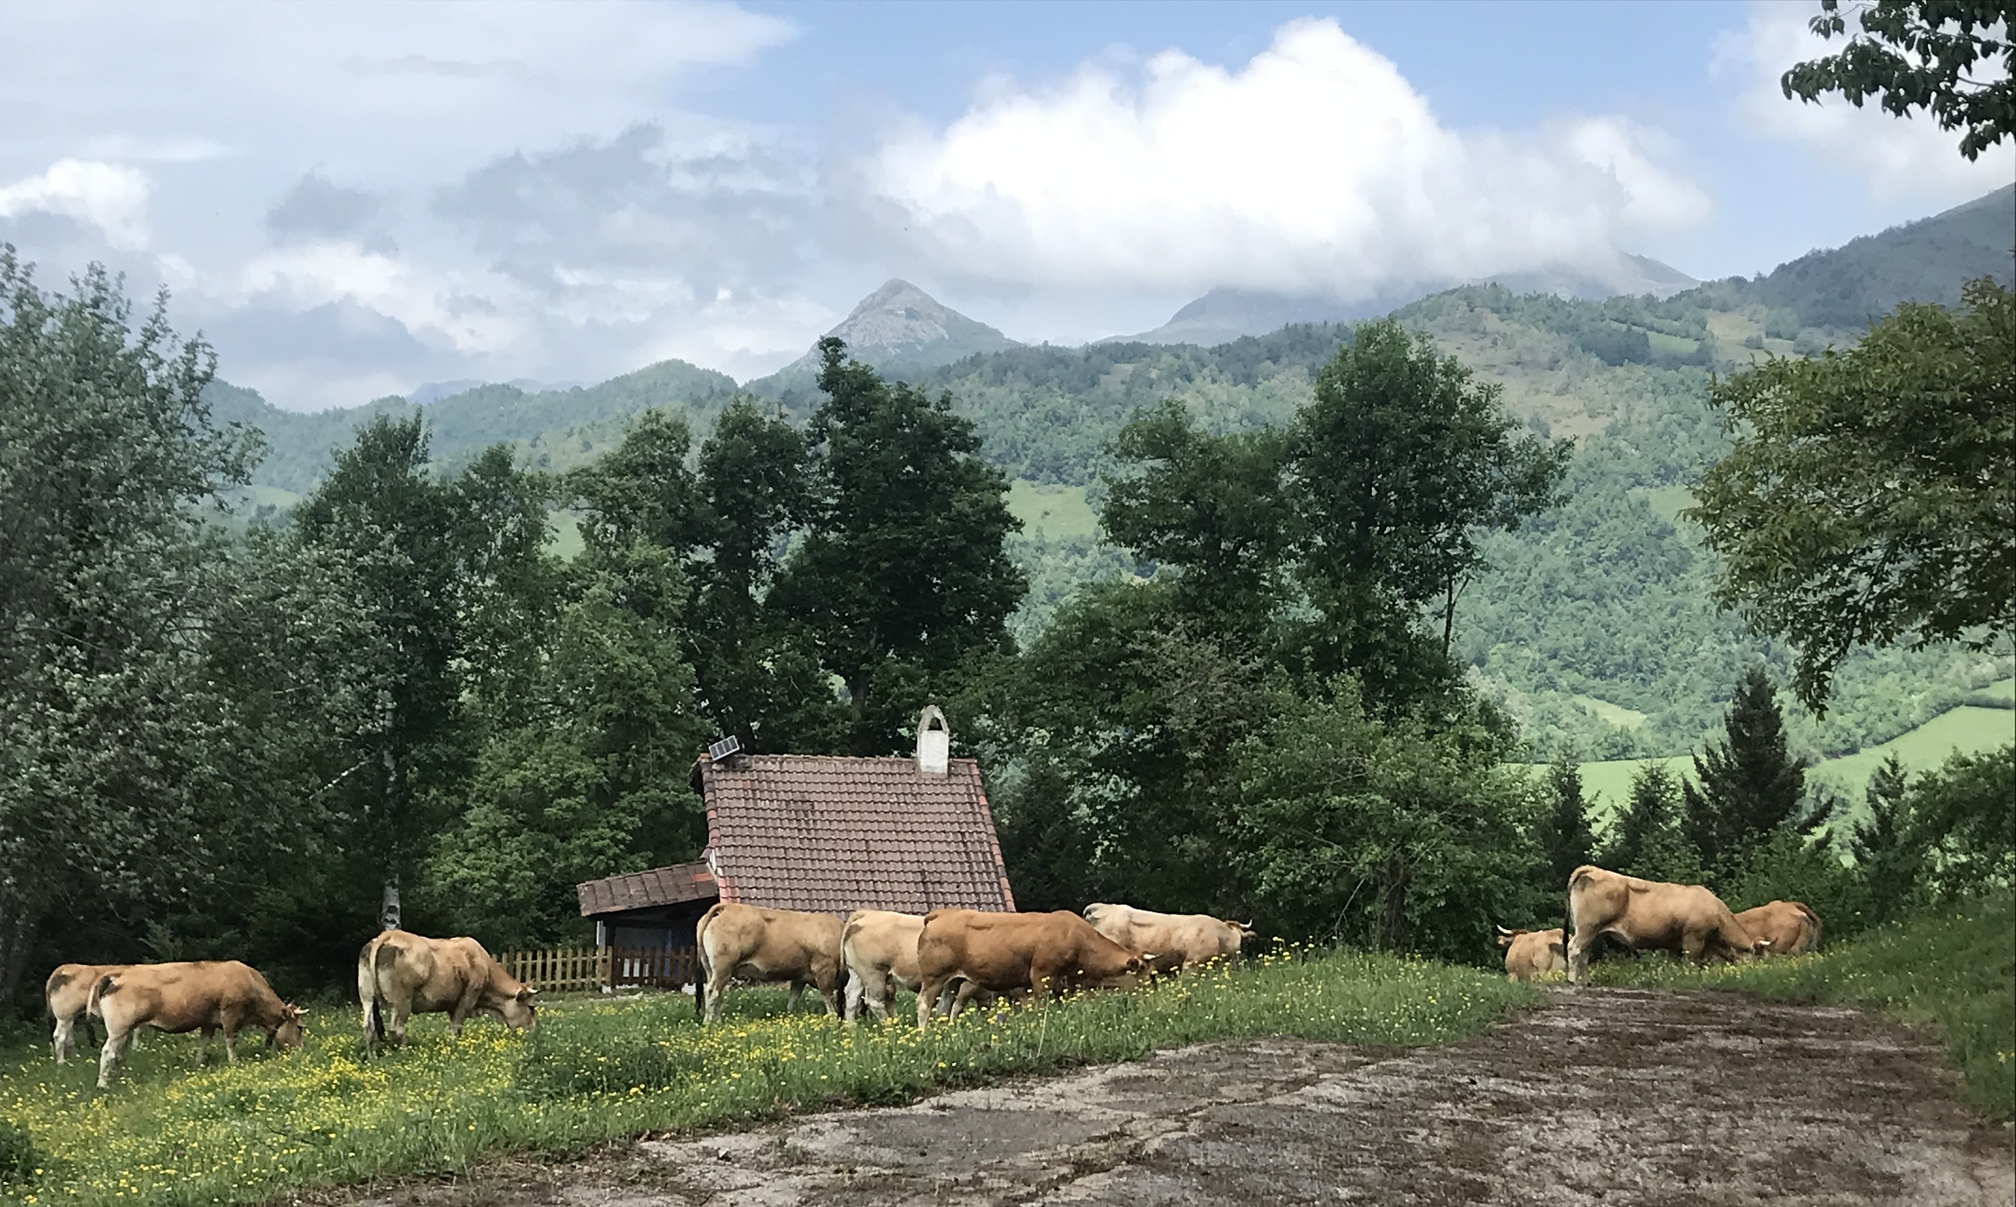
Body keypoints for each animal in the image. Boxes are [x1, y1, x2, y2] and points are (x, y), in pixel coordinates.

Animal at [89, 961, 304, 1087]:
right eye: (300, 1027)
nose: (300, 1051)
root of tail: (115, 975)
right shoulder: (230, 1013)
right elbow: (230, 1040)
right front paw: (234, 1062)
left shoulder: (208, 1021)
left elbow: (204, 1042)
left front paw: (199, 1063)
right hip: (119, 1029)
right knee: (108, 1052)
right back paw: (102, 1084)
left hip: (124, 1031)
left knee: (118, 1054)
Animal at [357, 929, 537, 1057]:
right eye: (531, 1008)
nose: (533, 1031)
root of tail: (388, 935)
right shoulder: (467, 999)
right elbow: (456, 1028)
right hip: (402, 1001)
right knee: (396, 1029)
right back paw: (405, 1053)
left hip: (367, 996)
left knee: (368, 1026)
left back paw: (372, 1057)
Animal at [696, 902, 845, 1026]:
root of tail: (727, 906)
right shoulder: (824, 968)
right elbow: (827, 995)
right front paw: (833, 1018)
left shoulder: (800, 977)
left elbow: (793, 998)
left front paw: (789, 1016)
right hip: (723, 968)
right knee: (712, 991)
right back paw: (709, 1022)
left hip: (712, 969)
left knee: (716, 993)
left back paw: (717, 1020)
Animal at [914, 908, 1154, 1028]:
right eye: (1142, 972)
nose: (1151, 996)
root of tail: (941, 914)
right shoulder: (1041, 974)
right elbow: (1040, 1005)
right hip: (934, 976)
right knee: (924, 1004)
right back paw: (924, 1033)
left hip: (954, 980)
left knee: (946, 1006)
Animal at [1565, 864, 1768, 983]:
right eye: (1755, 955)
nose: (1756, 973)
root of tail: (1594, 869)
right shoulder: (1693, 938)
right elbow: (1691, 962)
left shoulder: (1674, 944)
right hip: (1588, 927)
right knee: (1574, 948)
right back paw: (1572, 980)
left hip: (1589, 930)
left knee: (1584, 953)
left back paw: (1585, 981)